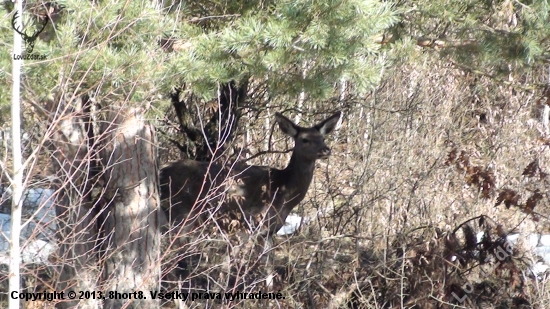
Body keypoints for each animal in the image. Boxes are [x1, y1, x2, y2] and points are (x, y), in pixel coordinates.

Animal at [157, 109, 342, 286]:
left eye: (322, 138)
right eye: (304, 139)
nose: (326, 150)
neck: (282, 191)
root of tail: (161, 172)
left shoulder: (267, 231)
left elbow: (268, 266)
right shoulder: (248, 224)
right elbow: (229, 265)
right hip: (180, 214)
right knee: (172, 254)